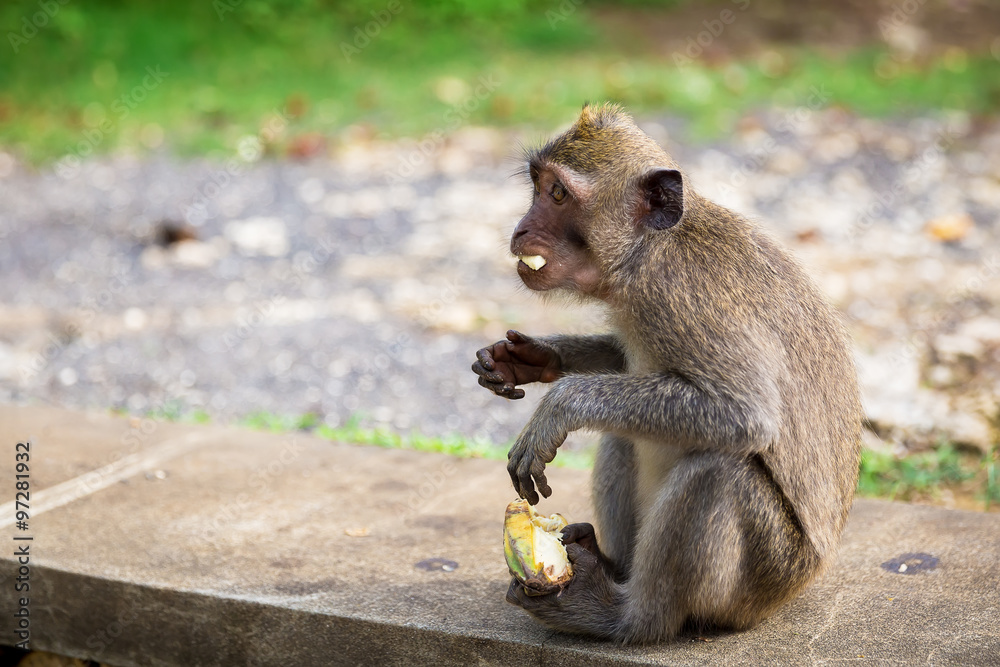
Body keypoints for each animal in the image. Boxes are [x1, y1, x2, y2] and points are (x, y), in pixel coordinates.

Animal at [471, 103, 862, 644]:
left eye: (558, 193)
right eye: (537, 186)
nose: (521, 230)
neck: (650, 249)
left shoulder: (682, 295)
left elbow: (745, 413)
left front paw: (559, 404)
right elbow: (624, 364)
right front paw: (534, 357)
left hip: (765, 577)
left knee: (719, 468)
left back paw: (627, 618)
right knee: (623, 433)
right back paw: (606, 566)